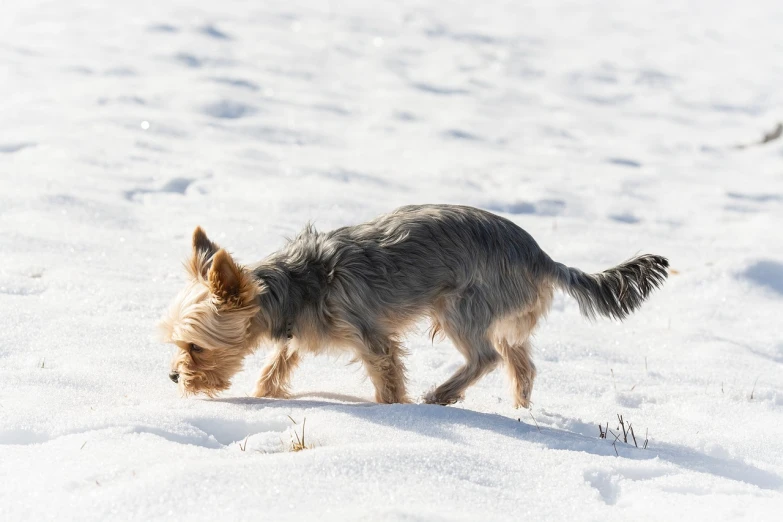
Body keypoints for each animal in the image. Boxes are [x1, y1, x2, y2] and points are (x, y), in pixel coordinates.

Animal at [159, 203, 668, 406]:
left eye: (195, 347)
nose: (173, 377)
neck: (293, 286)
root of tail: (543, 258)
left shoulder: (371, 335)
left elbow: (386, 376)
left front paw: (394, 409)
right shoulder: (301, 333)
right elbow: (279, 360)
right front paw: (266, 393)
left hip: (461, 306)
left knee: (485, 356)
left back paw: (441, 396)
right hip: (507, 316)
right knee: (521, 364)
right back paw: (521, 410)